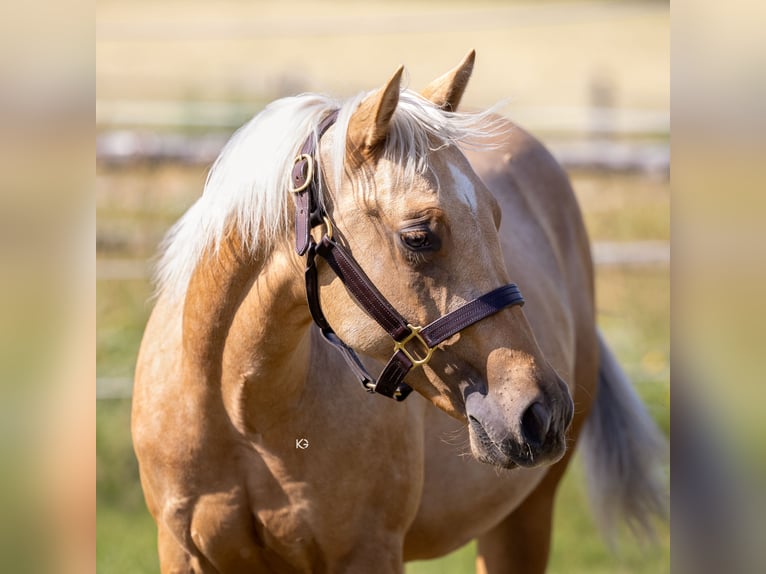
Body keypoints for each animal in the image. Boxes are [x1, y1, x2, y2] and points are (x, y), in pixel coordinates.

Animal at [132, 51, 665, 573]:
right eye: (418, 236)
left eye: (496, 218)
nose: (543, 411)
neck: (240, 415)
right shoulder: (180, 551)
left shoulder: (368, 551)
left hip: (526, 518)